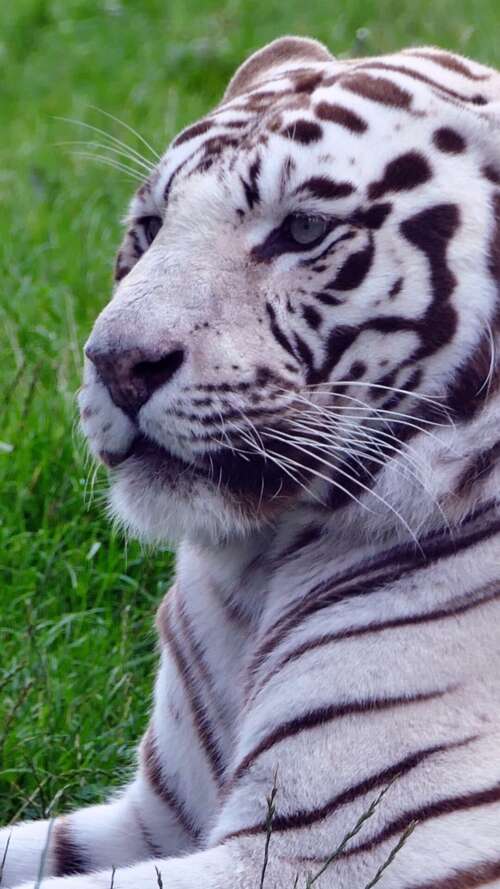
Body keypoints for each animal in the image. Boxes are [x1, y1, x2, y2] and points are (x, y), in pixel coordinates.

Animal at [2, 33, 500, 889]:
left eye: (302, 230)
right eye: (150, 226)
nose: (117, 363)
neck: (259, 571)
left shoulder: (332, 848)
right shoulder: (156, 817)